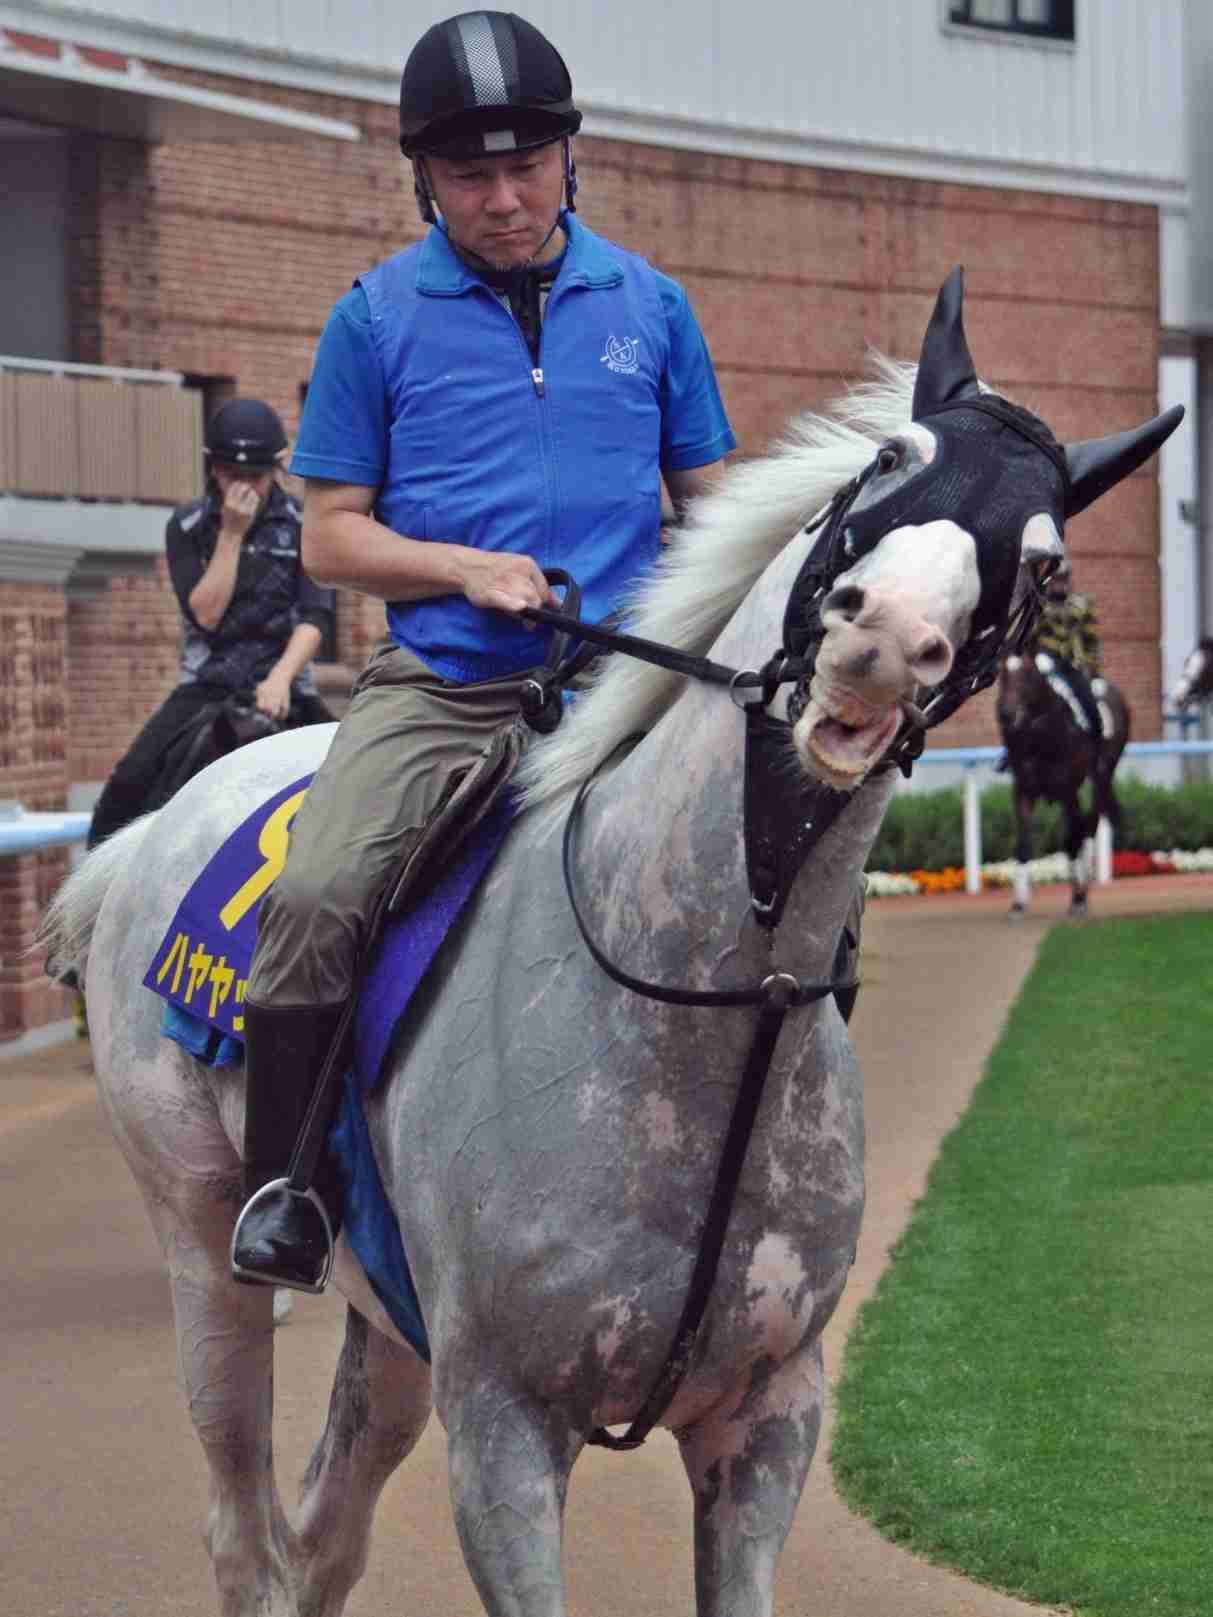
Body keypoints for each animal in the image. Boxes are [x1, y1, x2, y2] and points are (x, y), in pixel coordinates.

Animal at [996, 653, 1130, 914]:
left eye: (1027, 674)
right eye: (1002, 674)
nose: (1005, 713)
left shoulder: (1068, 791)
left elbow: (1072, 840)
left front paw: (1078, 898)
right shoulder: (1024, 792)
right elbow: (1023, 845)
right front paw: (1019, 903)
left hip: (1102, 777)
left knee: (1088, 824)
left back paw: (1083, 889)